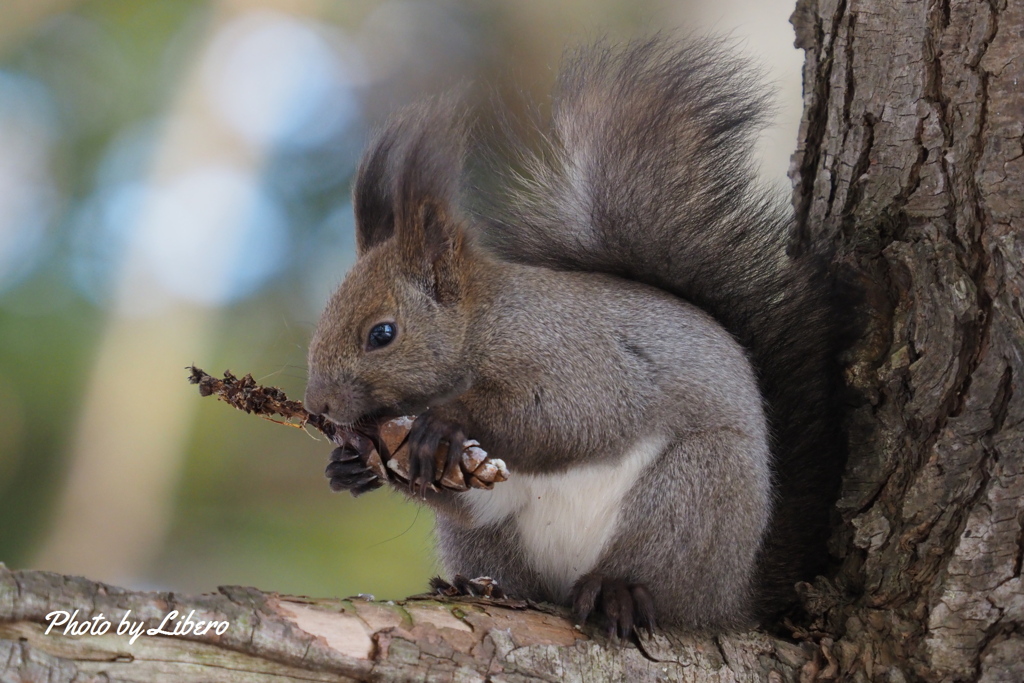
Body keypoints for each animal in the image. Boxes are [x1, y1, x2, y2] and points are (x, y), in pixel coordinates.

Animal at [303, 36, 847, 634]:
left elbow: (575, 417)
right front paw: (351, 464)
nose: (318, 404)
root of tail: (734, 601)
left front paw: (444, 422)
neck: (486, 325)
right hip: (496, 539)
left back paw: (618, 592)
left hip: (696, 493)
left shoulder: (576, 354)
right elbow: (459, 494)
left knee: (665, 583)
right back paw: (478, 586)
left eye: (383, 333)